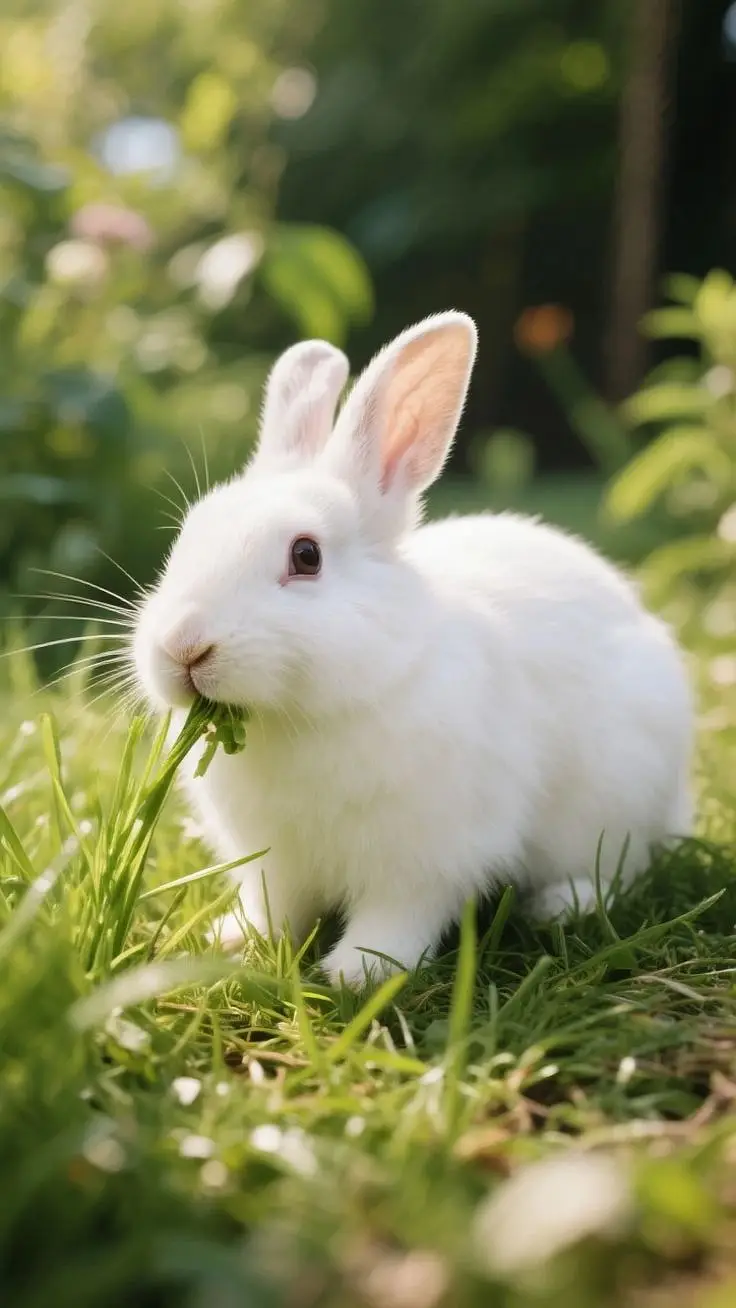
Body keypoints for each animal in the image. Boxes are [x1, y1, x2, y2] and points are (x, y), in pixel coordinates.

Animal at [133, 311, 693, 987]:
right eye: (187, 537)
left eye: (306, 556)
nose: (183, 646)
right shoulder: (275, 862)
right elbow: (274, 908)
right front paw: (234, 941)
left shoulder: (428, 857)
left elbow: (400, 914)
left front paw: (360, 972)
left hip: (613, 801)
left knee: (619, 867)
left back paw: (563, 905)